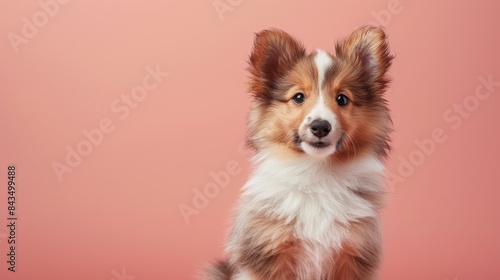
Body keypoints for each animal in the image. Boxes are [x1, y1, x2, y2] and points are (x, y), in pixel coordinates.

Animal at [204, 26, 394, 280]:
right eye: (298, 97)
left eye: (342, 99)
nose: (320, 127)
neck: (317, 173)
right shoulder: (269, 253)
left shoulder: (353, 254)